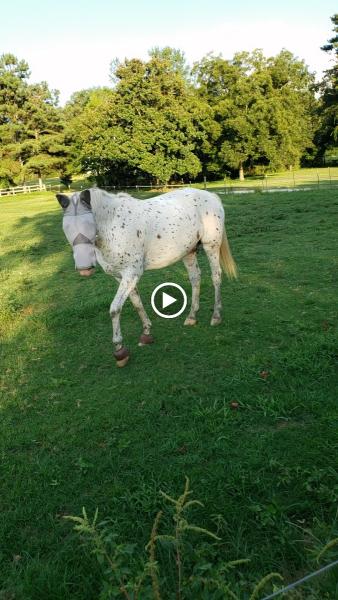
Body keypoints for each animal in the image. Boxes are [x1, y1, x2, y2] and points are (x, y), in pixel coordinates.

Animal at [56, 188, 236, 366]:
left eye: (89, 225)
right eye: (66, 228)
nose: (84, 268)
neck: (113, 226)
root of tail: (210, 195)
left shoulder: (131, 273)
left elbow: (115, 309)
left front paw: (119, 350)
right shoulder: (121, 277)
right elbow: (136, 302)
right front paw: (147, 333)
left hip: (211, 246)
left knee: (216, 277)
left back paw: (216, 316)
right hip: (189, 252)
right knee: (195, 278)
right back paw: (191, 317)